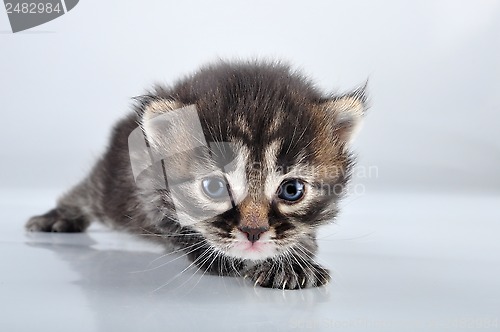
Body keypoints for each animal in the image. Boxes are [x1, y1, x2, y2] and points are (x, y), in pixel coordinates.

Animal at [25, 61, 366, 290]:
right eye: (214, 187)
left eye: (291, 190)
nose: (253, 233)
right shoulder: (146, 191)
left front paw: (292, 263)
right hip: (110, 190)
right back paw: (57, 217)